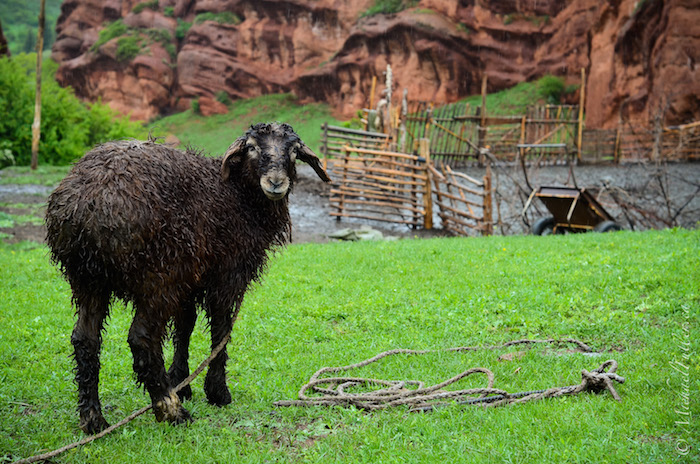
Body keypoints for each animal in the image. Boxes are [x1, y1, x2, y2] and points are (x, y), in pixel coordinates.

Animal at [45, 121, 332, 434]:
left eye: (293, 151)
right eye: (252, 147)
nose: (276, 183)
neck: (238, 196)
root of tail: (87, 205)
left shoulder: (190, 277)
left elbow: (185, 327)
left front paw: (181, 382)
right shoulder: (226, 274)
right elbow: (221, 328)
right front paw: (216, 392)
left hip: (88, 278)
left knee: (85, 339)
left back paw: (93, 418)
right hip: (157, 275)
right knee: (141, 338)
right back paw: (171, 410)